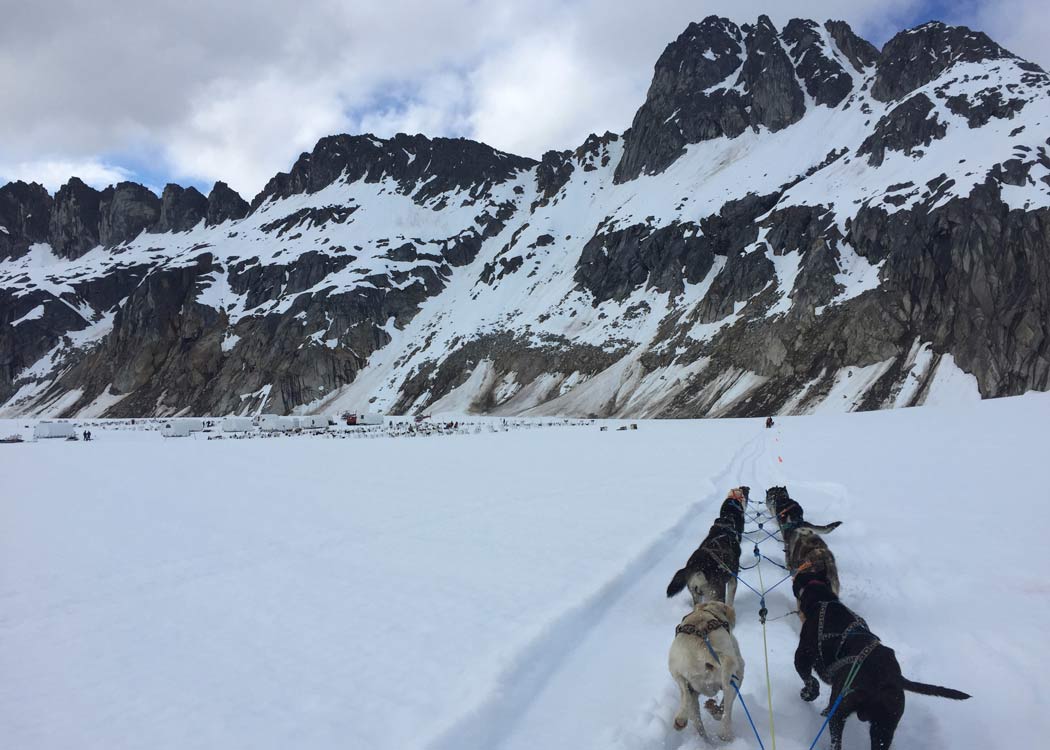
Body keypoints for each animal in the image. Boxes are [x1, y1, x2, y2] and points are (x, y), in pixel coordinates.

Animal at [667, 600, 743, 739]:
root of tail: (703, 649)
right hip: (733, 677)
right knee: (726, 711)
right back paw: (725, 733)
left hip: (679, 675)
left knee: (687, 697)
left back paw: (682, 720)